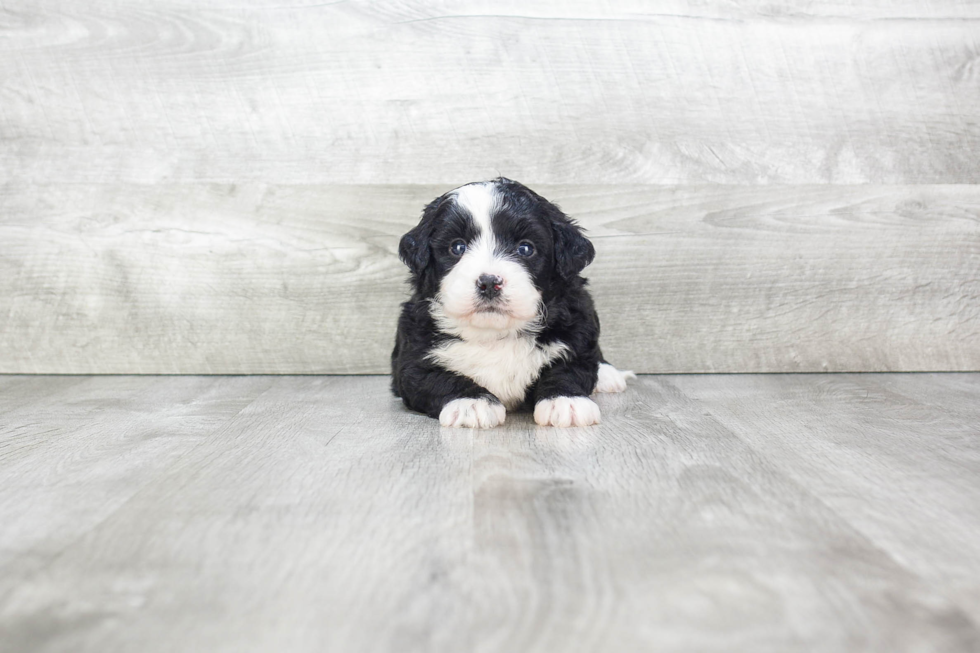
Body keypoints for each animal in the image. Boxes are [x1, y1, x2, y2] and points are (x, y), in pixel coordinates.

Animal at [392, 177, 636, 428]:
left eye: (525, 248)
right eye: (457, 247)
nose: (489, 282)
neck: (496, 334)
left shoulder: (577, 331)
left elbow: (568, 369)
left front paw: (565, 400)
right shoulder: (413, 358)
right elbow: (438, 378)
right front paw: (471, 402)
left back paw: (607, 374)